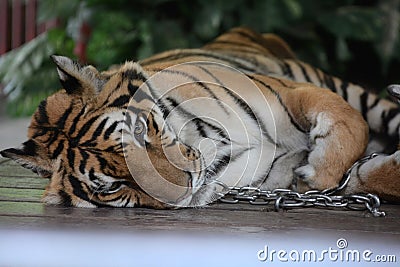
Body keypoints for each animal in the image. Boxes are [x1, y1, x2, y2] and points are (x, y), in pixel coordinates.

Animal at [0, 26, 400, 207]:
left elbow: (350, 124)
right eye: (112, 187)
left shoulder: (290, 91)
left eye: (140, 131)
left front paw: (321, 170)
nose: (187, 187)